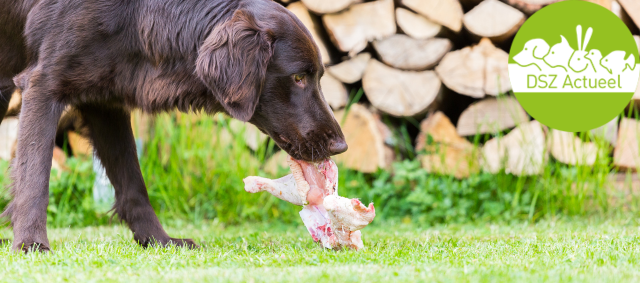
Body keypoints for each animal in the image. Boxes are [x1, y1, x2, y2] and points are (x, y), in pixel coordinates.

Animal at [0, 0, 344, 253]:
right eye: (298, 77)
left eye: (319, 76)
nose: (341, 146)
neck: (136, 18)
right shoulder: (43, 84)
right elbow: (35, 174)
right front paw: (30, 242)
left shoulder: (105, 101)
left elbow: (133, 182)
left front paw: (158, 240)